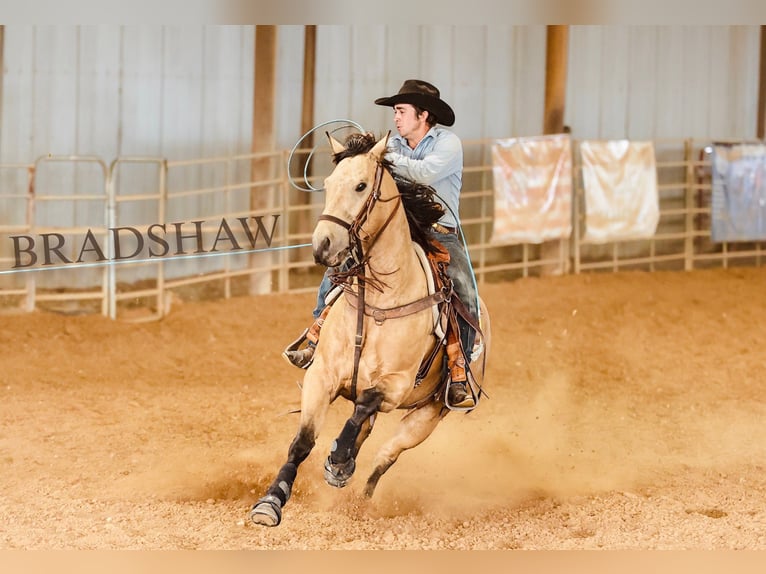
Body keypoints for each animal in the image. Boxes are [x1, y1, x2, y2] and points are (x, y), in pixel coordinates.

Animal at [250, 131, 491, 527]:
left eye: (362, 186)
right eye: (329, 184)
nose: (322, 245)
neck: (381, 301)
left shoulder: (394, 385)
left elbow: (365, 404)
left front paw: (337, 458)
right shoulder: (321, 376)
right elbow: (302, 442)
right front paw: (270, 502)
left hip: (426, 417)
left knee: (384, 456)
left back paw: (356, 492)